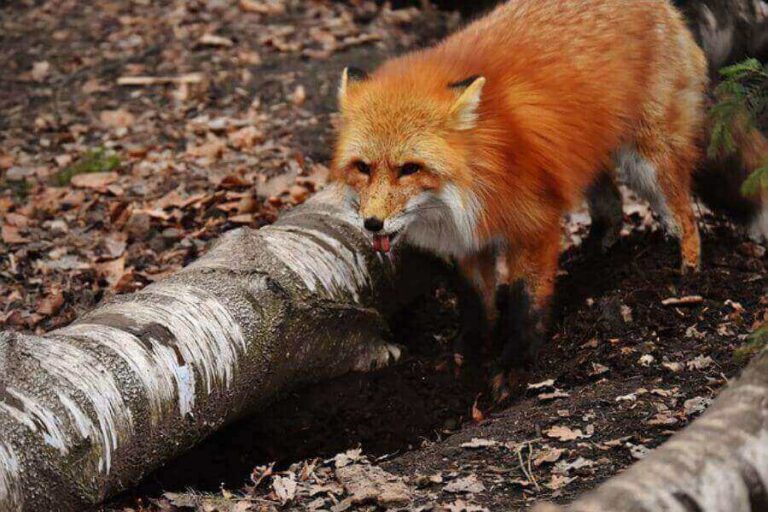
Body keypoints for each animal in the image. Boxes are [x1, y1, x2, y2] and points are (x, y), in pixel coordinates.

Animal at [329, 0, 709, 400]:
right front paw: (468, 353)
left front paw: (515, 364)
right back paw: (594, 256)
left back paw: (687, 278)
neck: (477, 173)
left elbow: (526, 302)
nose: (372, 223)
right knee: (613, 207)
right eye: (363, 167)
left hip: (649, 162)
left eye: (410, 169)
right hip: (586, 158)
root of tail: (664, 9)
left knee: (685, 219)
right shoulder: (467, 239)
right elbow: (477, 303)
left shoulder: (534, 224)